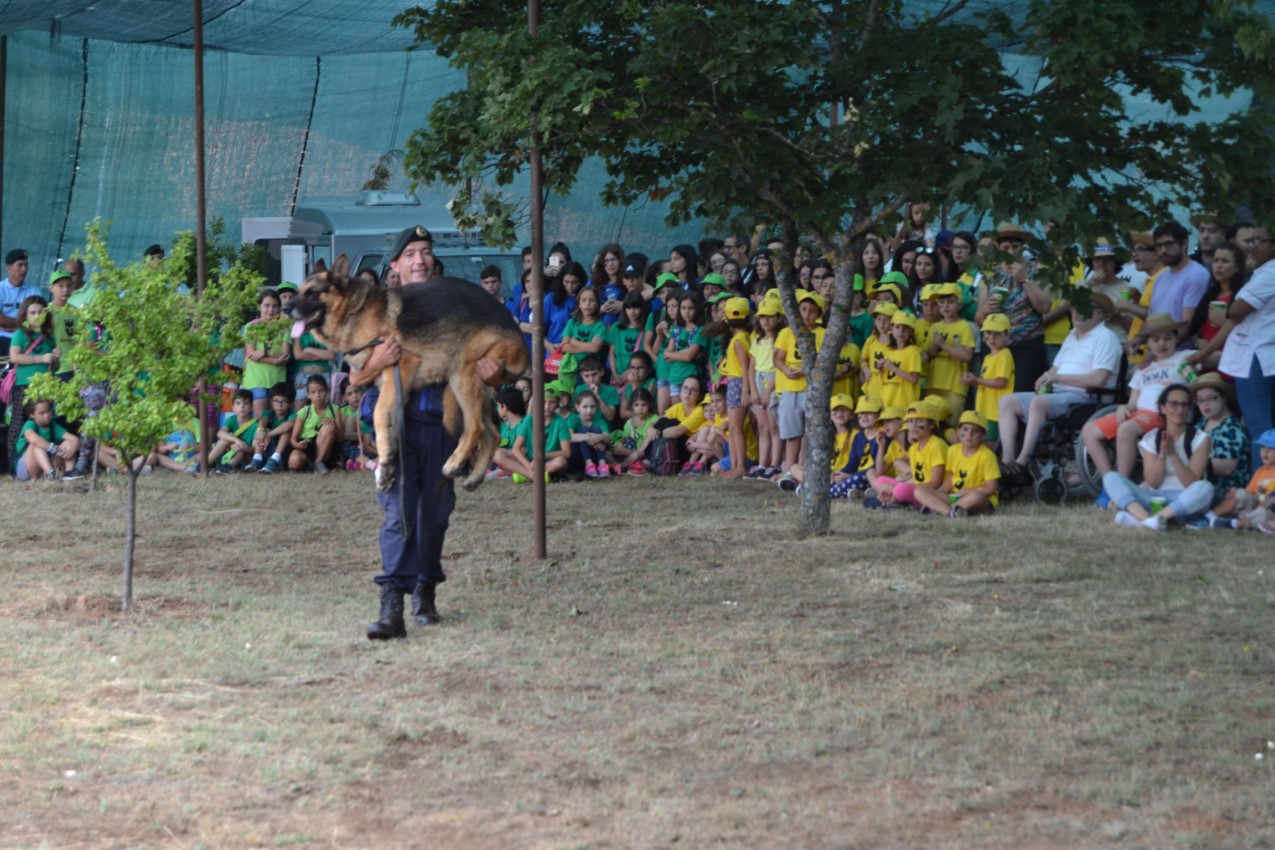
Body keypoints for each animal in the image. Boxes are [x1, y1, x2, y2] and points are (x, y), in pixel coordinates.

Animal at [289, 254, 527, 491]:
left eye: (312, 292)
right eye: (300, 290)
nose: (285, 307)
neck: (355, 312)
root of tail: (519, 338)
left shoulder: (400, 369)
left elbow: (379, 414)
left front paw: (385, 463)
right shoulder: (393, 386)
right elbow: (391, 421)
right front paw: (387, 466)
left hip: (463, 376)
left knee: (475, 427)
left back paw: (453, 463)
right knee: (492, 435)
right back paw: (474, 477)